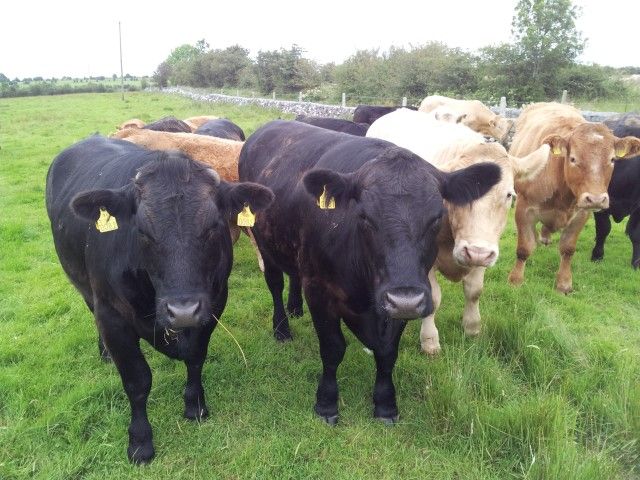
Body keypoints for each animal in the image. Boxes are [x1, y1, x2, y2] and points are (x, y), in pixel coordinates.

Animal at [46, 135, 273, 464]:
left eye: (213, 226)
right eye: (142, 231)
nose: (182, 311)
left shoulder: (213, 304)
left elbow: (195, 357)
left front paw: (195, 405)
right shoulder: (113, 317)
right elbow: (137, 381)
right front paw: (140, 441)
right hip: (87, 290)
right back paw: (105, 353)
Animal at [239, 120, 500, 424]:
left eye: (438, 216)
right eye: (363, 216)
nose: (405, 299)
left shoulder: (398, 302)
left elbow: (387, 353)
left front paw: (385, 404)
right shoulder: (319, 290)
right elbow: (332, 348)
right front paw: (326, 403)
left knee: (293, 274)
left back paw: (295, 309)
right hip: (264, 242)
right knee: (275, 283)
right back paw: (282, 328)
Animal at [366, 108, 548, 354]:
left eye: (509, 194)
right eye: (460, 193)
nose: (477, 252)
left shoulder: (484, 248)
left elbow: (474, 290)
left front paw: (472, 328)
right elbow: (433, 297)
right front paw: (430, 340)